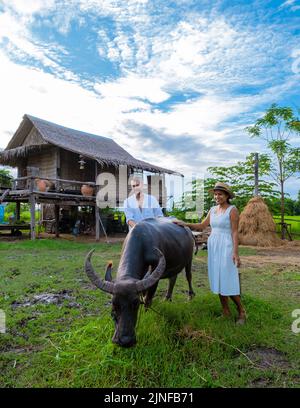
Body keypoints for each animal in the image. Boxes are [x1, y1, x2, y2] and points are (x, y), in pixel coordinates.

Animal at [85, 217, 197, 348]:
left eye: (136, 304)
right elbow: (144, 294)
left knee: (188, 276)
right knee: (173, 279)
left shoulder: (154, 276)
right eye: (114, 304)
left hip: (189, 260)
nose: (125, 341)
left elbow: (148, 299)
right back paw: (167, 298)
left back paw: (190, 296)